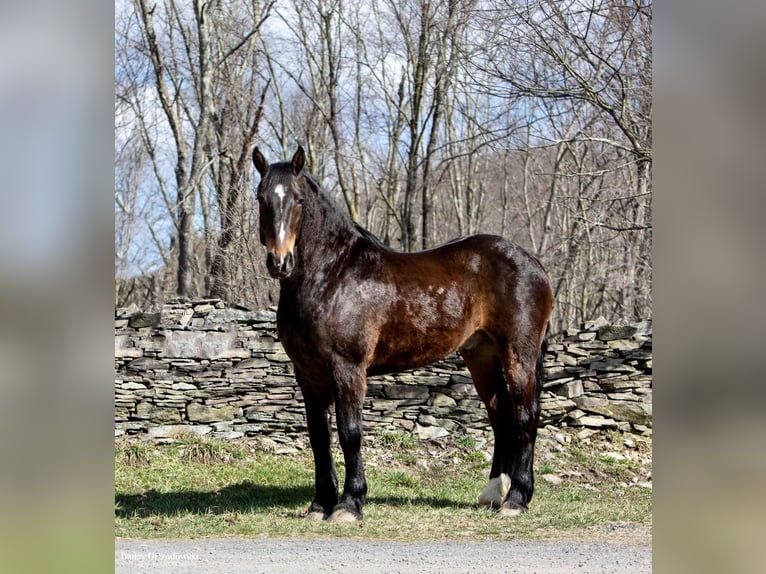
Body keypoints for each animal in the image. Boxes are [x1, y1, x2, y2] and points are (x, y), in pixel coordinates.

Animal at [255, 146, 556, 524]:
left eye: (297, 200)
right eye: (261, 198)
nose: (278, 262)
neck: (334, 275)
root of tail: (533, 262)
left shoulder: (347, 369)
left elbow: (349, 433)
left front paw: (349, 505)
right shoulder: (307, 374)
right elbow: (318, 438)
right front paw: (320, 505)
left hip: (519, 355)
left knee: (525, 417)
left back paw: (516, 499)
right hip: (482, 356)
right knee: (500, 415)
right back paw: (492, 494)